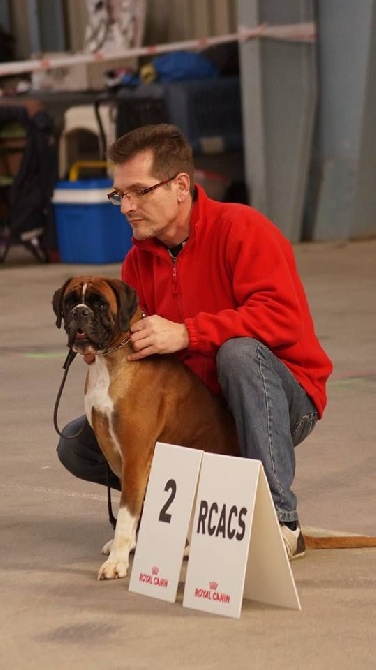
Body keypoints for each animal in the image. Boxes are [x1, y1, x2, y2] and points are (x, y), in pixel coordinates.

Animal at [52, 278, 239, 584]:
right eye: (69, 301)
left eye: (99, 303)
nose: (80, 312)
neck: (110, 358)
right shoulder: (114, 451)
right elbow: (131, 507)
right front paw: (126, 546)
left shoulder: (135, 453)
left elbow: (126, 511)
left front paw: (117, 562)